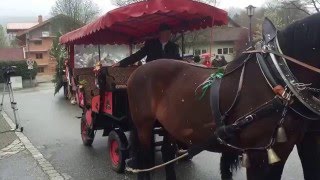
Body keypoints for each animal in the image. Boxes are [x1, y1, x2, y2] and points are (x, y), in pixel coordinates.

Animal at [126, 13, 318, 180]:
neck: (276, 75)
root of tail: (138, 71)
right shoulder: (260, 155)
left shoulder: (304, 144)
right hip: (143, 125)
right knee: (144, 160)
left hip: (171, 124)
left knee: (167, 152)